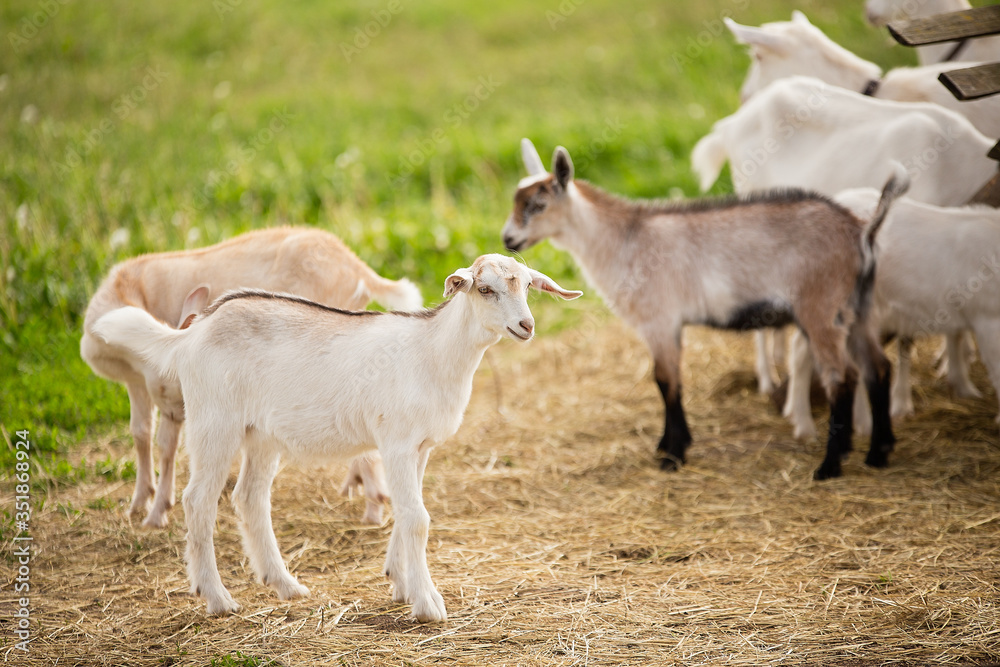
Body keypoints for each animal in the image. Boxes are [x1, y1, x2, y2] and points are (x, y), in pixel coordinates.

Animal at [81, 226, 421, 528]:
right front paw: (140, 502)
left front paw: (156, 512)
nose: (182, 412)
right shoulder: (138, 383)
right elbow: (140, 432)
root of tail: (359, 269)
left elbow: (165, 443)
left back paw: (374, 504)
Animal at [91, 255, 581, 620]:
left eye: (528, 286)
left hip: (260, 434)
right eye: (485, 289)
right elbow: (418, 518)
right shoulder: (397, 443)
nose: (526, 326)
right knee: (199, 501)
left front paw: (400, 584)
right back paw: (217, 598)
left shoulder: (419, 448)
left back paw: (286, 585)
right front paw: (428, 605)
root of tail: (190, 334)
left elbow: (407, 512)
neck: (432, 352)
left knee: (249, 498)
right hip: (215, 422)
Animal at [504, 139, 909, 480]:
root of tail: (861, 231)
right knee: (877, 368)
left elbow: (666, 381)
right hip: (858, 307)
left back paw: (830, 465)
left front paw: (673, 455)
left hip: (821, 306)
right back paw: (878, 452)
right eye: (515, 201)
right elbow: (668, 380)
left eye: (538, 205)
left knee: (843, 376)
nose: (508, 239)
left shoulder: (660, 320)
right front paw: (668, 445)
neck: (623, 240)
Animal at [691, 76, 994, 419]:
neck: (961, 168)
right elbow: (908, 334)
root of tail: (731, 123)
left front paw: (960, 383)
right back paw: (767, 380)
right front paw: (902, 403)